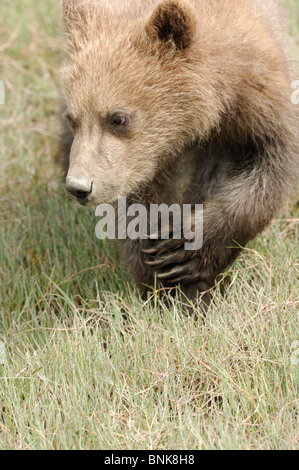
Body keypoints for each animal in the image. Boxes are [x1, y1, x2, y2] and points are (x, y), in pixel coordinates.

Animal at [59, 0, 299, 310]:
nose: (79, 187)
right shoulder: (143, 159)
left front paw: (184, 252)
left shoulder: (256, 105)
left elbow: (269, 168)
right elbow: (141, 205)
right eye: (72, 118)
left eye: (117, 118)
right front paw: (166, 284)